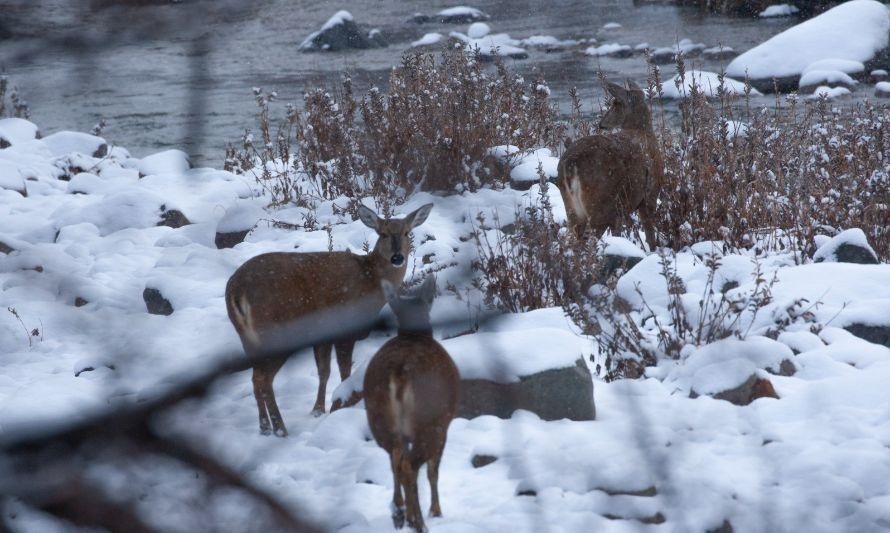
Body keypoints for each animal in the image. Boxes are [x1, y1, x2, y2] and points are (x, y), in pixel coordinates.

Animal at [225, 202, 434, 434]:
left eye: (407, 232)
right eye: (383, 233)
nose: (397, 258)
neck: (371, 279)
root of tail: (237, 290)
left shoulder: (321, 332)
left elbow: (324, 371)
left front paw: (318, 410)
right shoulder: (346, 326)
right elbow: (345, 372)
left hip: (248, 338)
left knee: (255, 378)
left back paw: (264, 427)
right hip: (277, 331)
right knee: (263, 379)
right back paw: (280, 429)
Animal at [362, 274, 458, 532]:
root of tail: (400, 372)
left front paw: (404, 514)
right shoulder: (446, 424)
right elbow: (434, 471)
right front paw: (436, 511)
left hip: (379, 418)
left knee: (396, 460)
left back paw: (399, 513)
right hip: (430, 421)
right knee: (411, 466)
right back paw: (420, 522)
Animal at [560, 79, 664, 249]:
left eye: (616, 103)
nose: (601, 123)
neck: (643, 131)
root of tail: (571, 164)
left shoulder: (620, 214)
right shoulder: (650, 195)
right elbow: (650, 234)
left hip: (573, 209)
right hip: (600, 206)